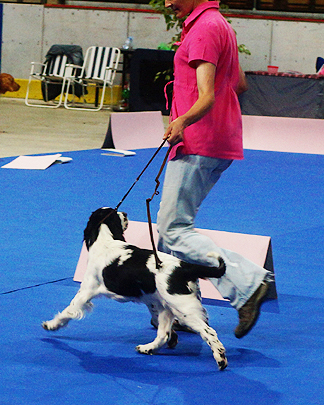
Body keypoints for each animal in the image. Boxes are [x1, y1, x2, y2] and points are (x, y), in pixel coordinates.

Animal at [43, 208, 228, 370]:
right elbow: (164, 328)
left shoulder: (86, 290)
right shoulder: (153, 301)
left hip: (182, 307)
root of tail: (184, 267)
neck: (105, 241)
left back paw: (220, 360)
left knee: (209, 332)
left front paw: (51, 325)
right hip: (168, 306)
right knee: (163, 334)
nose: (125, 213)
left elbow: (69, 310)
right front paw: (172, 339)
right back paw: (148, 348)